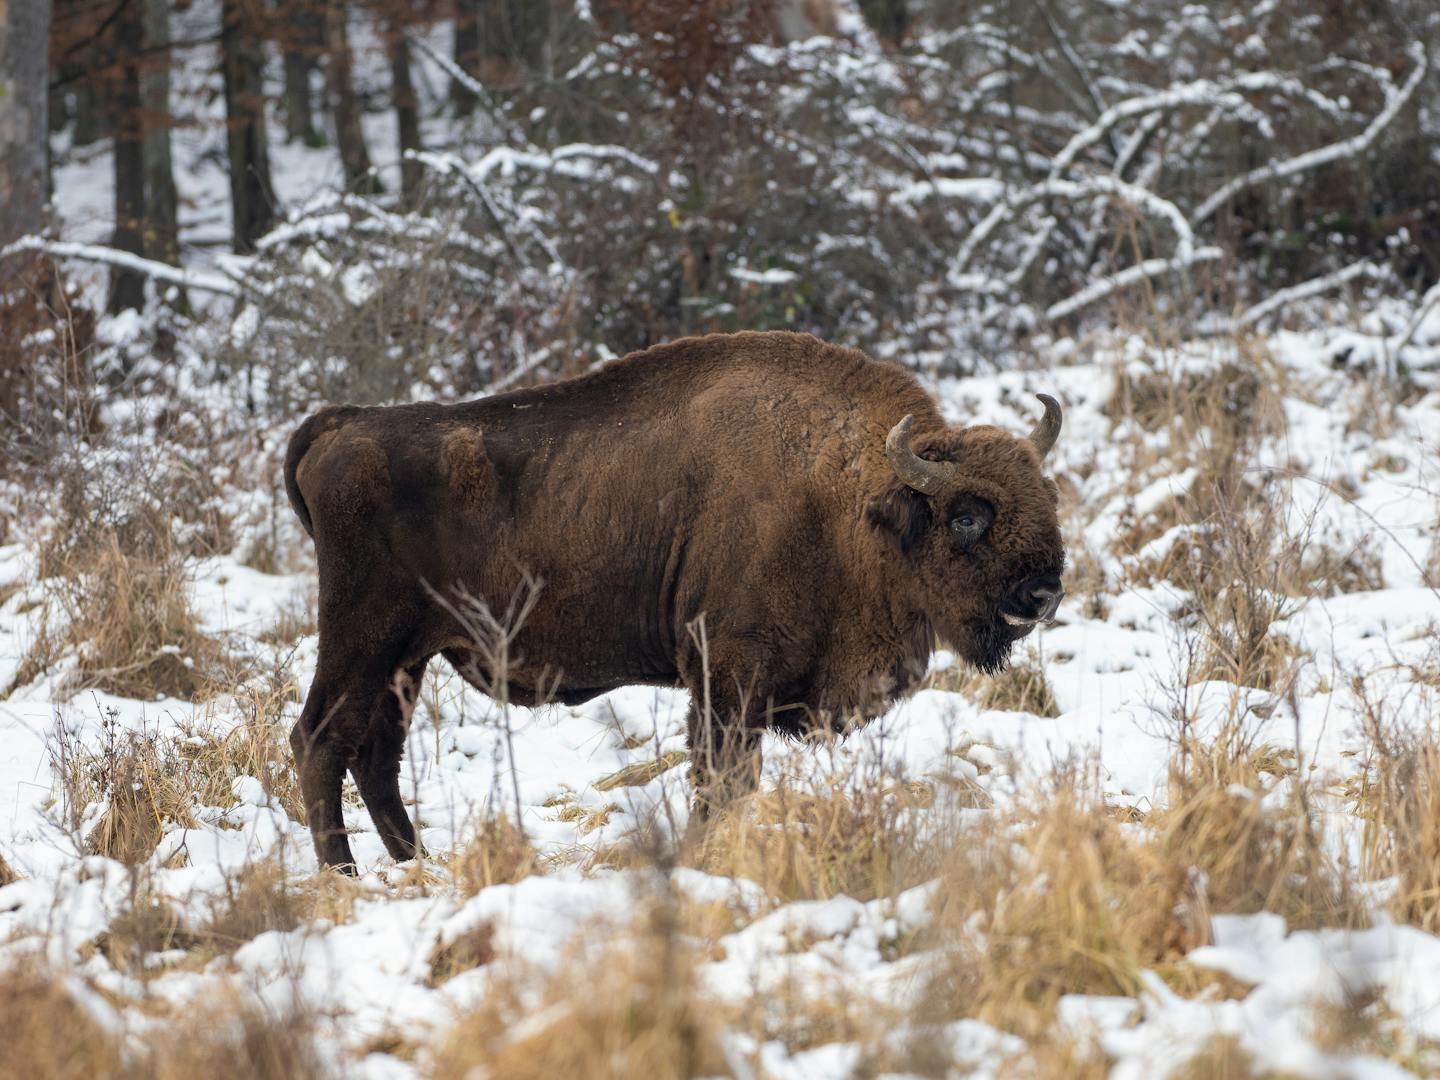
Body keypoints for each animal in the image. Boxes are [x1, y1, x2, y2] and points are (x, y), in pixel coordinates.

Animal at [286, 329, 1065, 869]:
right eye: (967, 516)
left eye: (1048, 497)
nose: (1044, 592)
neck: (846, 496)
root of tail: (341, 424)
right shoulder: (726, 676)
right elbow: (719, 779)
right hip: (364, 638)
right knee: (321, 741)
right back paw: (346, 877)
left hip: (406, 658)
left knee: (375, 755)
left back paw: (416, 865)